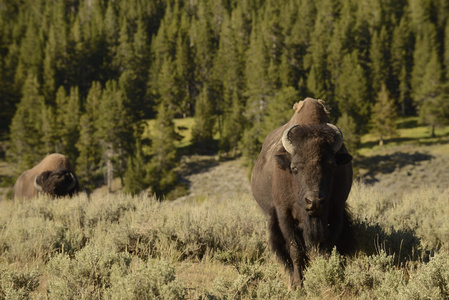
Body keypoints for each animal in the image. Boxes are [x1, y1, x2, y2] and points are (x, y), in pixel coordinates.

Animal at [250, 98, 356, 288]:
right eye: (294, 167)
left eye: (332, 166)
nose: (314, 201)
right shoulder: (284, 214)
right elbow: (295, 250)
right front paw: (298, 284)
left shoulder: (336, 212)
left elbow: (327, 249)